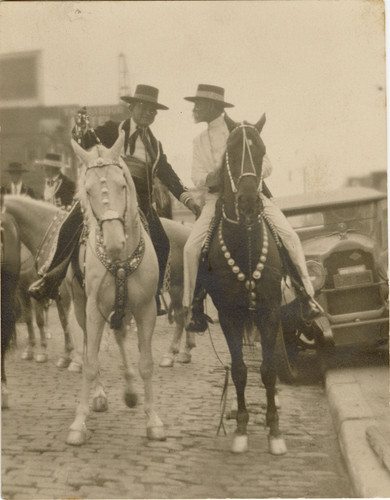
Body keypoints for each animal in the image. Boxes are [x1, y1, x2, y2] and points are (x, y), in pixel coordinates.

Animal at [201, 116, 286, 454]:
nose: (249, 202)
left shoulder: (270, 310)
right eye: (233, 152)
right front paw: (240, 427)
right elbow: (239, 370)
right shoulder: (229, 315)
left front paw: (274, 430)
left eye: (261, 151)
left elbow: (269, 369)